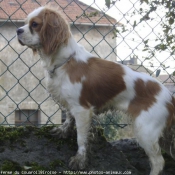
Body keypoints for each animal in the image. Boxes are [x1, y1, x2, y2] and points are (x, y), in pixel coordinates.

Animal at [16, 5, 174, 175]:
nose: (18, 30)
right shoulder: (70, 103)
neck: (64, 61)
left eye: (34, 24)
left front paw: (79, 160)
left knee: (158, 161)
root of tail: (170, 97)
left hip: (145, 130)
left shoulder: (82, 110)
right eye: (25, 22)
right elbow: (69, 118)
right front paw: (63, 131)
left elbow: (81, 138)